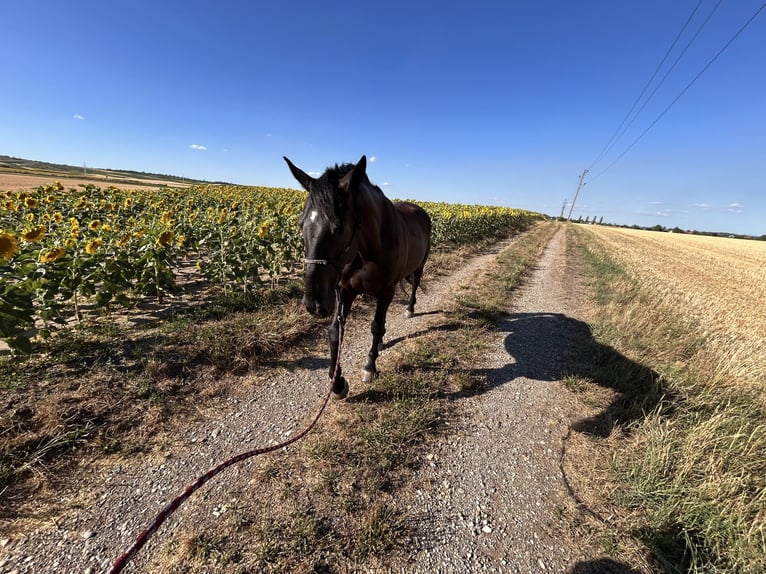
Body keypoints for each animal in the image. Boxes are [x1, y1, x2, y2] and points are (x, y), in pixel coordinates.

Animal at [284, 155, 432, 399]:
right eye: (300, 224)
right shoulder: (345, 291)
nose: (314, 303)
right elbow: (335, 332)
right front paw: (336, 383)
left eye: (339, 228)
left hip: (419, 266)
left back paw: (410, 309)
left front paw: (370, 368)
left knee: (414, 286)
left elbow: (376, 326)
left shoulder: (386, 291)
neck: (369, 248)